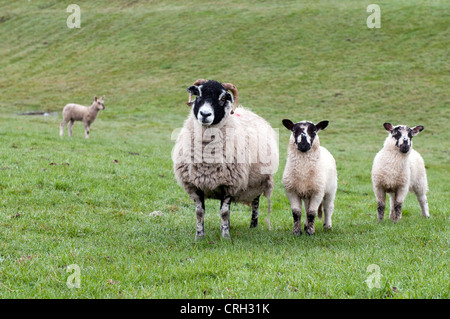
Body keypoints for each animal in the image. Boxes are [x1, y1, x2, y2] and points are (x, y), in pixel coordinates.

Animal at [171, 79, 278, 240]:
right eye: (198, 94)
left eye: (222, 98)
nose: (205, 114)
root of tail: (246, 110)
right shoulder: (194, 184)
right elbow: (200, 212)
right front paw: (199, 236)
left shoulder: (230, 184)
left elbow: (224, 212)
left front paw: (225, 237)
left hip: (257, 182)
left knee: (255, 203)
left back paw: (253, 226)